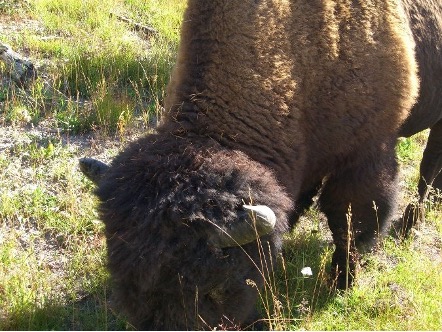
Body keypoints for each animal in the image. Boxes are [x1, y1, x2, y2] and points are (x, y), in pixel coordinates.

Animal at [79, 0, 442, 330]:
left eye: (215, 288)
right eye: (121, 275)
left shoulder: (366, 153)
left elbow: (351, 223)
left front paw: (341, 283)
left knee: (428, 168)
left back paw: (414, 218)